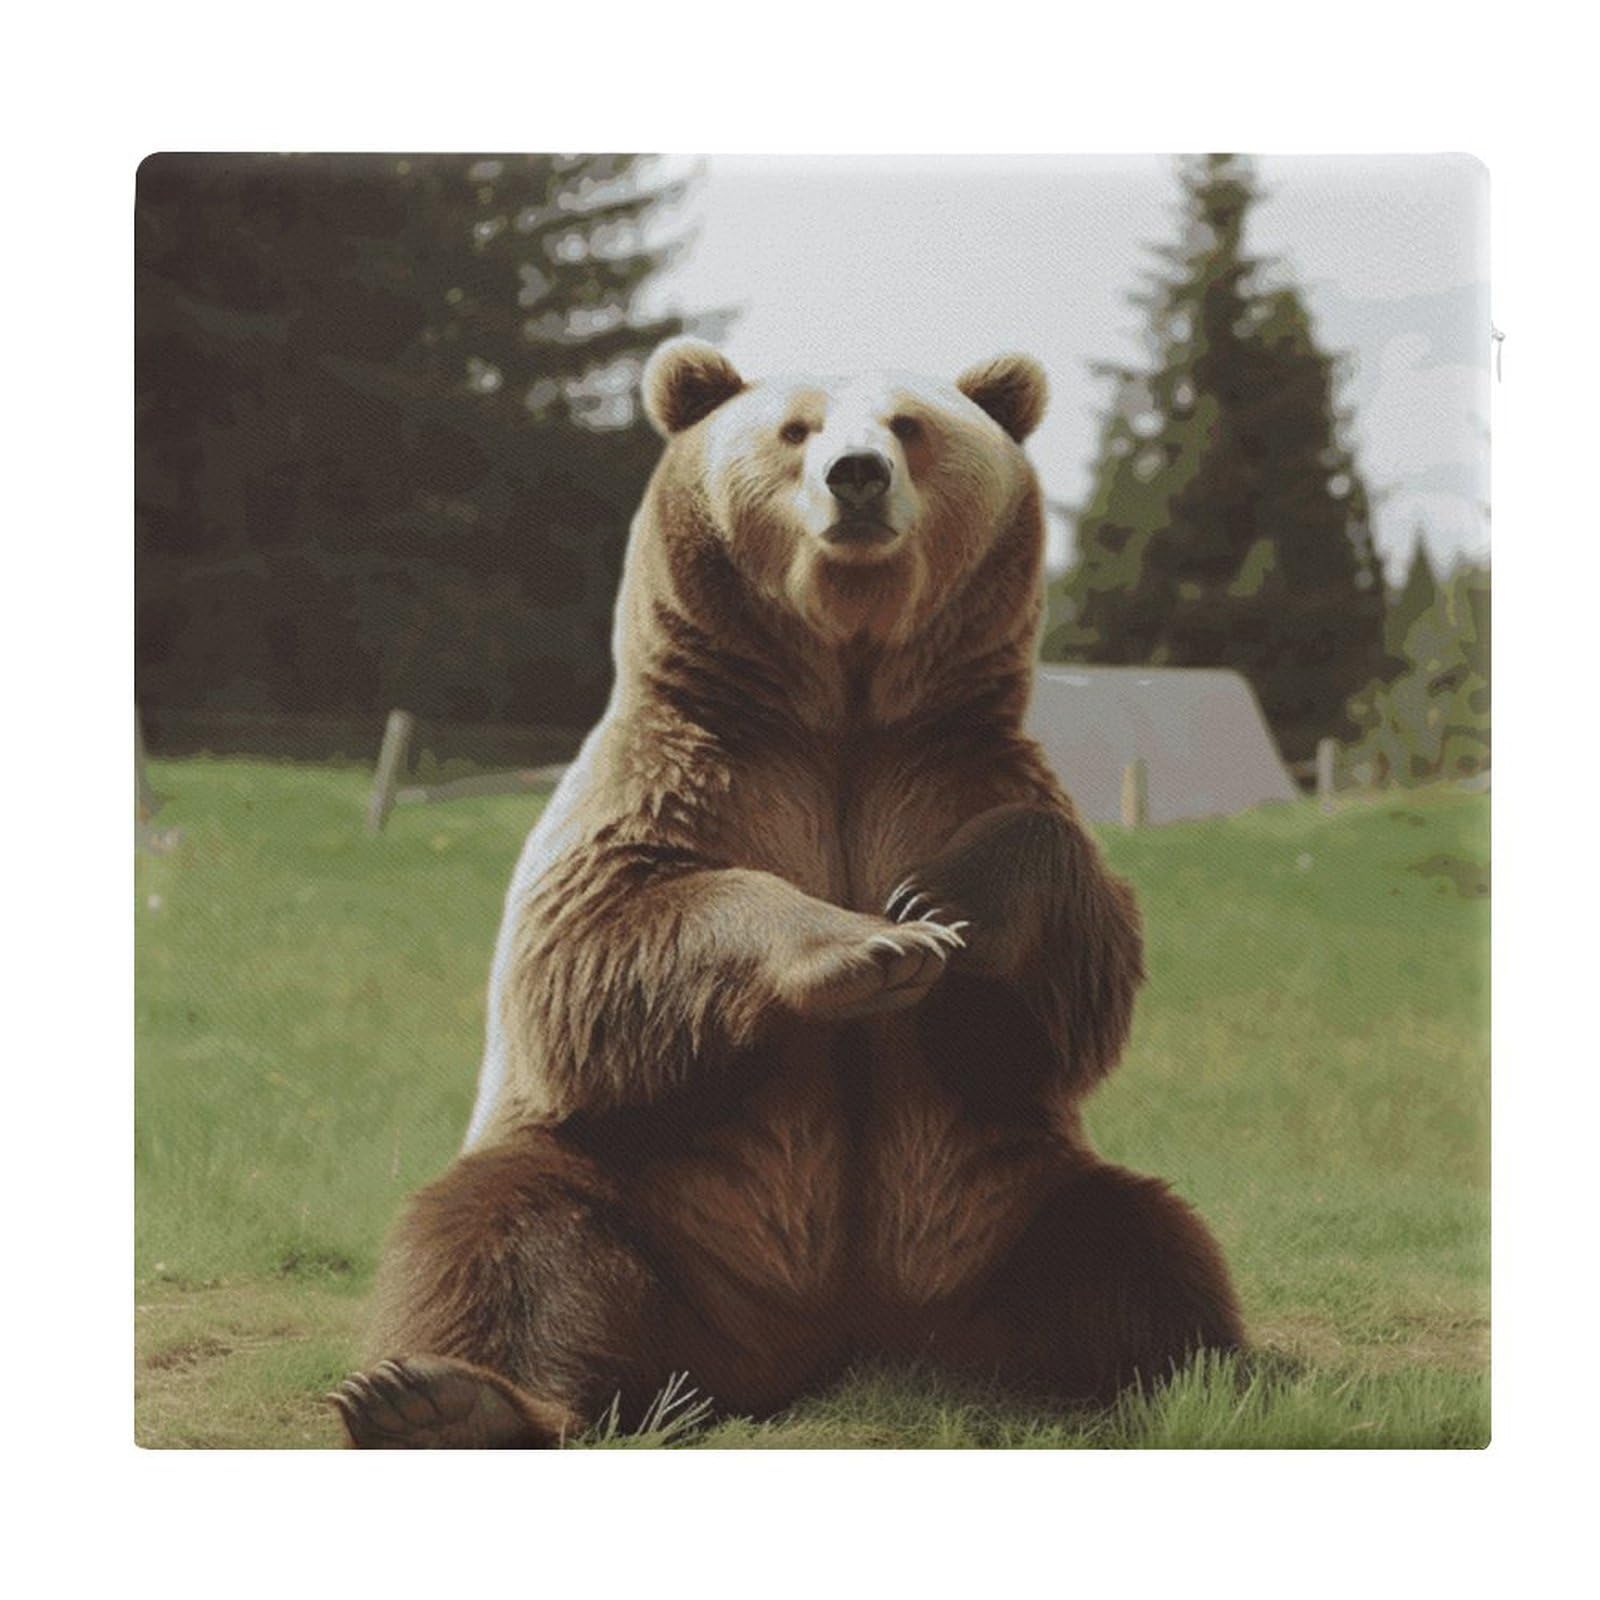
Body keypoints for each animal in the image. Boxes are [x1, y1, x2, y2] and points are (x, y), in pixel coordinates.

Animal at [330, 339, 1243, 1447]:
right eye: (794, 429)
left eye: (908, 426)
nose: (856, 476)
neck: (841, 707)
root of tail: (825, 1345)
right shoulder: (691, 774)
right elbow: (593, 946)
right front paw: (871, 946)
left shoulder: (952, 770)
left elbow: (1070, 974)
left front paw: (938, 905)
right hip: (652, 1206)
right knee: (505, 1230)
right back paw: (443, 1397)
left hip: (995, 1210)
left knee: (1132, 1242)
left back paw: (1186, 1379)